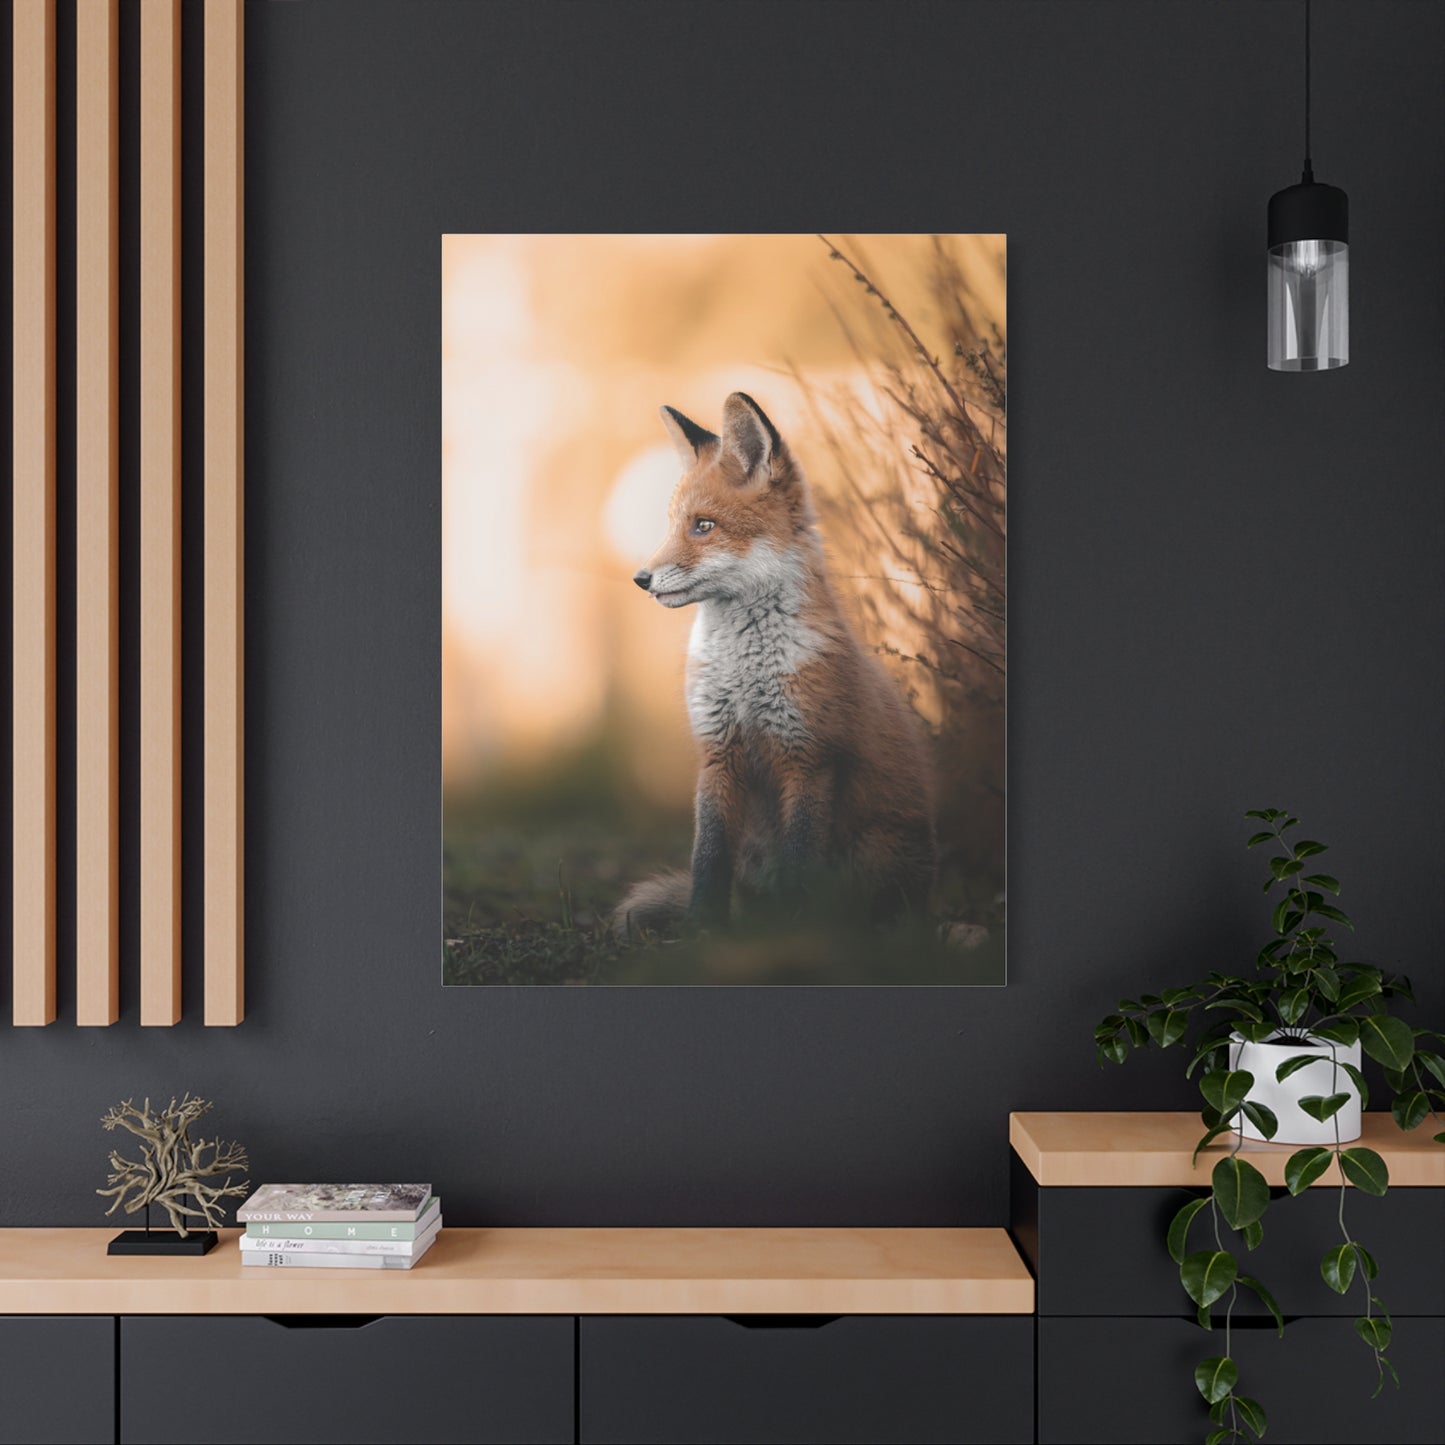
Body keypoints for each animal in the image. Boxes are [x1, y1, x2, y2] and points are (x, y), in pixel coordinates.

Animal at [611, 391, 935, 939]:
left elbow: (800, 860)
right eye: (673, 525)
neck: (745, 673)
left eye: (703, 526)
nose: (641, 579)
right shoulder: (718, 753)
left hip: (875, 852)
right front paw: (702, 930)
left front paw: (794, 930)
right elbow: (707, 858)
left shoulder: (808, 756)